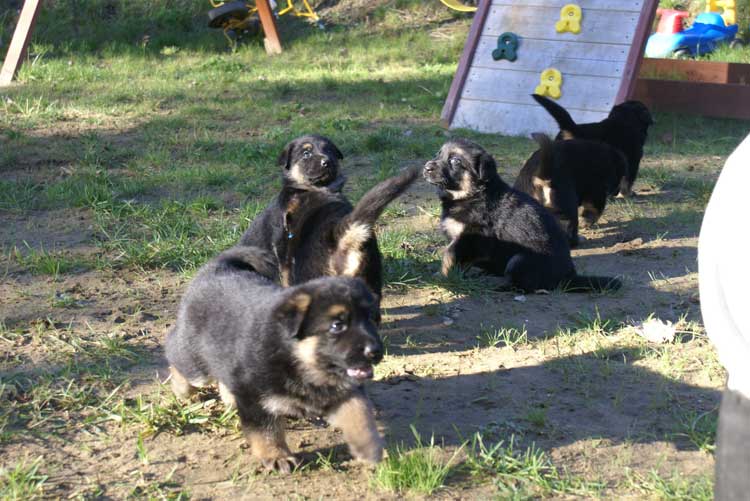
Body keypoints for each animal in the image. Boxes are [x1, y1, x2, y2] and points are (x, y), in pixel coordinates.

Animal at [167, 246, 384, 472]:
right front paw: (277, 456)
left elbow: (359, 414)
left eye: (371, 319)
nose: (375, 351)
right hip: (195, 363)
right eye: (337, 325)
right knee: (175, 354)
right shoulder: (254, 397)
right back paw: (182, 390)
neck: (299, 361)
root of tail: (217, 267)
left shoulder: (346, 391)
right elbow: (266, 432)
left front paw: (369, 447)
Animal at [424, 138, 624, 292]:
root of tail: (569, 276)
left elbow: (449, 256)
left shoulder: (470, 238)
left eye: (455, 161)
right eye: (438, 154)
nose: (426, 167)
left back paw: (494, 284)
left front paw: (442, 278)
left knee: (521, 285)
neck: (472, 194)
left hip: (520, 260)